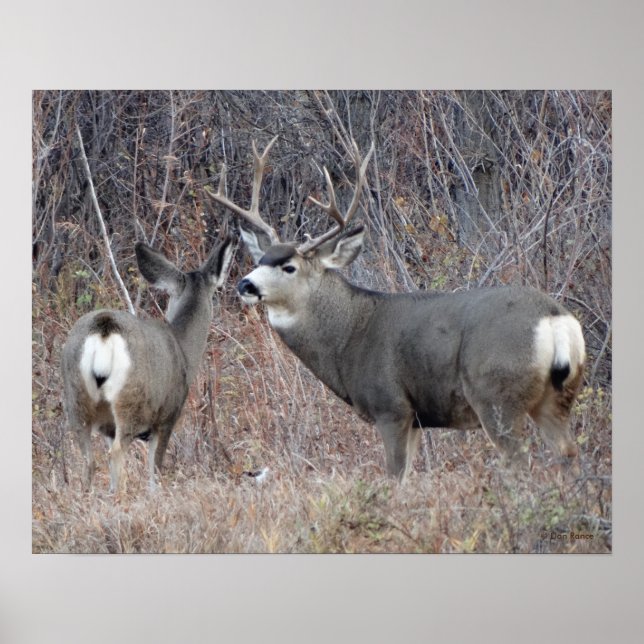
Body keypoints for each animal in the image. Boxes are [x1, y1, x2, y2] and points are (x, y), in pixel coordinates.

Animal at [61, 238, 233, 493]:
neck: (183, 349)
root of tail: (104, 328)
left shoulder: (109, 427)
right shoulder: (167, 416)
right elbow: (155, 471)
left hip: (76, 398)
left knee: (88, 461)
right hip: (130, 401)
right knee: (117, 454)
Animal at [207, 137, 585, 480]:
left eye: (289, 267)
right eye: (261, 260)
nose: (245, 285)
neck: (348, 336)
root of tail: (555, 320)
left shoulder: (391, 407)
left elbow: (395, 478)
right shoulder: (416, 419)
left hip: (496, 395)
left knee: (520, 463)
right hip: (557, 397)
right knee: (568, 453)